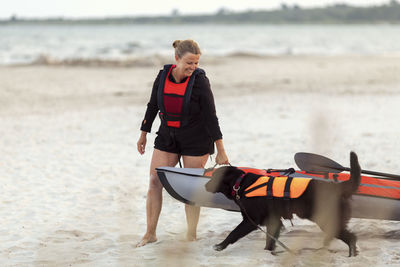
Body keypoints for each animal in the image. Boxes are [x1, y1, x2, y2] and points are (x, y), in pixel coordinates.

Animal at [205, 152, 360, 256]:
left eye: (213, 177)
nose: (206, 185)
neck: (240, 184)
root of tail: (337, 187)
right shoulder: (273, 221)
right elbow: (270, 241)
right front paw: (269, 253)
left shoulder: (251, 221)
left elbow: (234, 233)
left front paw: (220, 246)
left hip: (325, 219)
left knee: (351, 238)